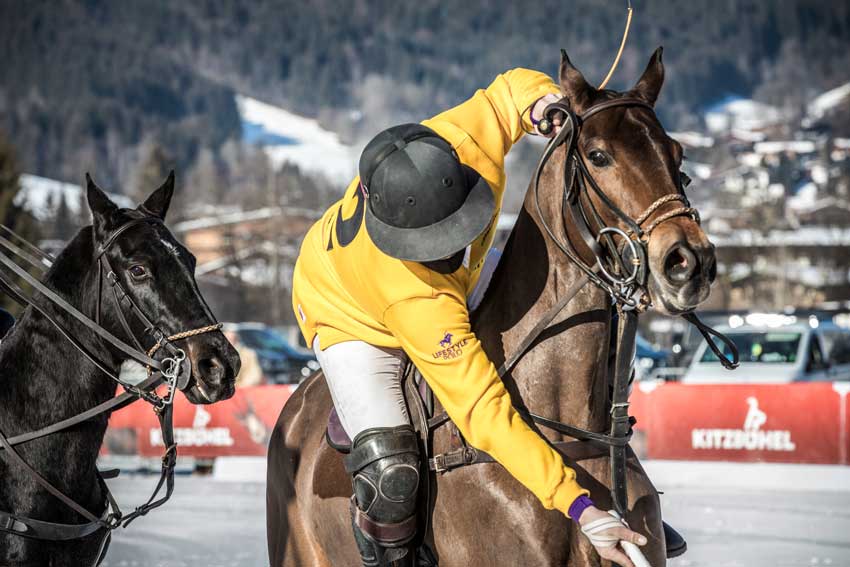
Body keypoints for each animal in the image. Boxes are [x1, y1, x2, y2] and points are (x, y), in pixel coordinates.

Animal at [266, 50, 716, 567]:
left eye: (678, 154)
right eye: (599, 156)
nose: (689, 261)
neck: (574, 433)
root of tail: (296, 403)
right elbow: (481, 407)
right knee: (392, 472)